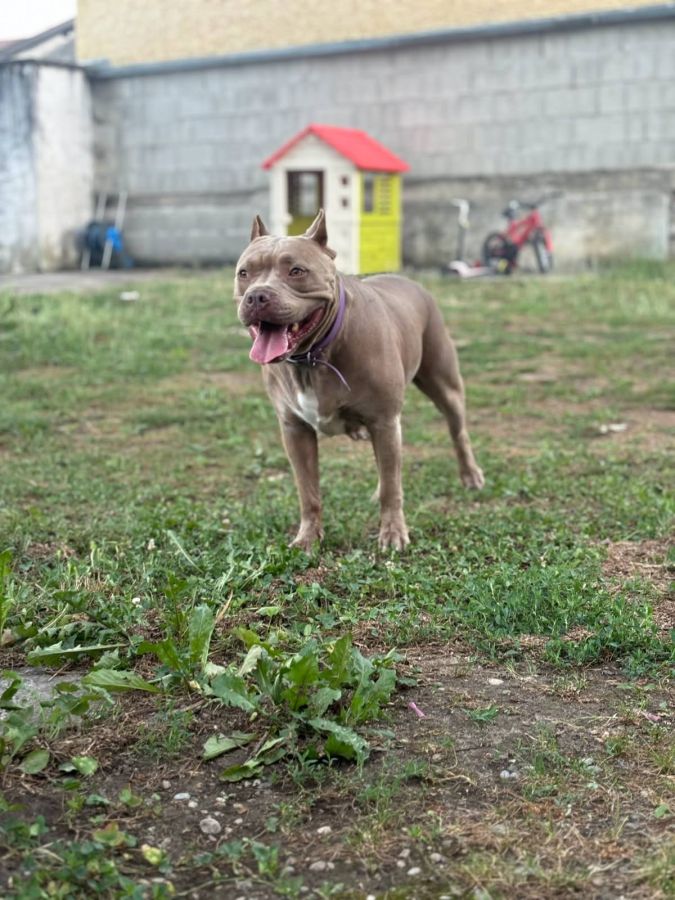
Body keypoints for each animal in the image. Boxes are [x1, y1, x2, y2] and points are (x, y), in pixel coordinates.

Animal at [234, 209, 484, 551]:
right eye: (244, 273)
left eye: (297, 271)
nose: (257, 296)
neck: (313, 357)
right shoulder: (295, 431)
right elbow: (308, 491)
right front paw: (308, 537)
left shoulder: (384, 421)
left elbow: (393, 486)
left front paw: (392, 532)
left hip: (444, 386)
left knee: (457, 433)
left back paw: (470, 476)